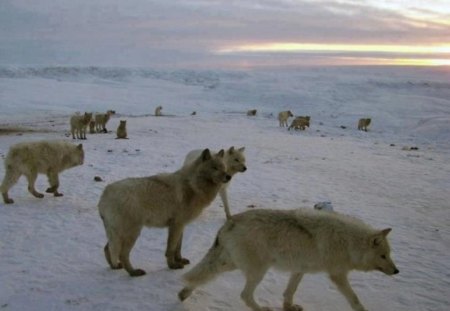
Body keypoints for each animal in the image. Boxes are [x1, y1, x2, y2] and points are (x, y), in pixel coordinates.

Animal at [99, 150, 232, 276]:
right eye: (214, 167)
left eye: (224, 167)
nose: (228, 176)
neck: (193, 185)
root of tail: (105, 194)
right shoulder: (176, 225)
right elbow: (171, 249)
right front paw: (172, 265)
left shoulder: (180, 225)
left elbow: (178, 247)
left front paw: (180, 260)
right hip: (132, 233)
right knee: (121, 254)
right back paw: (134, 272)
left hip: (118, 234)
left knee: (107, 248)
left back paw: (115, 267)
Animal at [178, 207, 400, 311]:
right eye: (383, 256)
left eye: (389, 255)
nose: (397, 271)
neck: (347, 243)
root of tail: (230, 221)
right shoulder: (337, 275)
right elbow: (354, 299)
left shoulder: (299, 269)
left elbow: (289, 292)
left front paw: (289, 307)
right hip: (258, 272)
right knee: (245, 295)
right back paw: (262, 309)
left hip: (231, 264)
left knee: (199, 276)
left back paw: (184, 293)